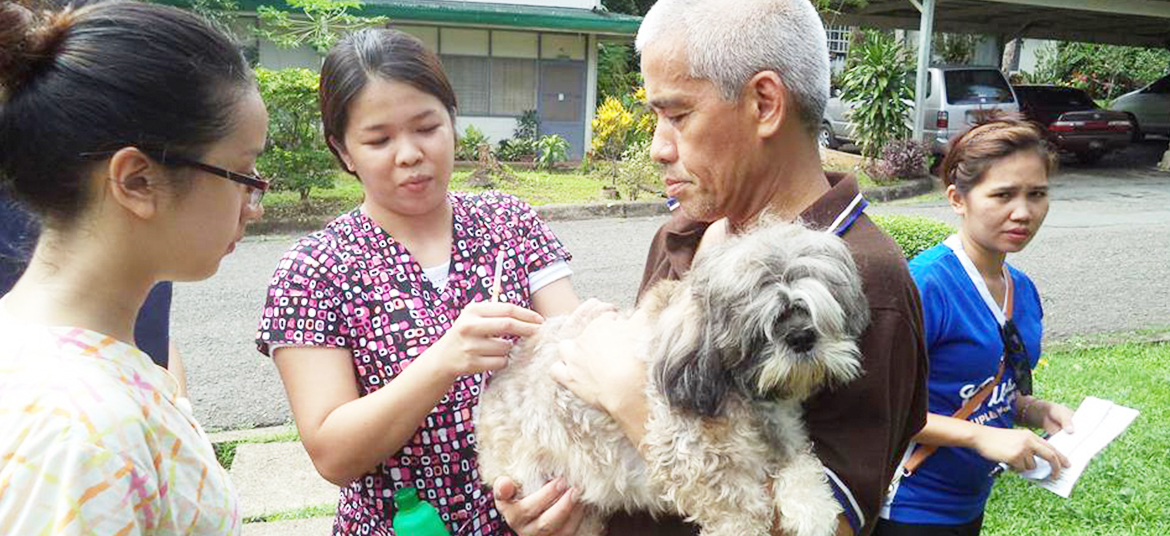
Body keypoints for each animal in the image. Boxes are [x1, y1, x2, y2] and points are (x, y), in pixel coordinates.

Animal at [472, 220, 870, 533]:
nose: (802, 337)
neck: (742, 395)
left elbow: (802, 464)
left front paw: (813, 509)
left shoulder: (785, 438)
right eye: (763, 324)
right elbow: (740, 513)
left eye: (817, 309)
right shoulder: (691, 462)